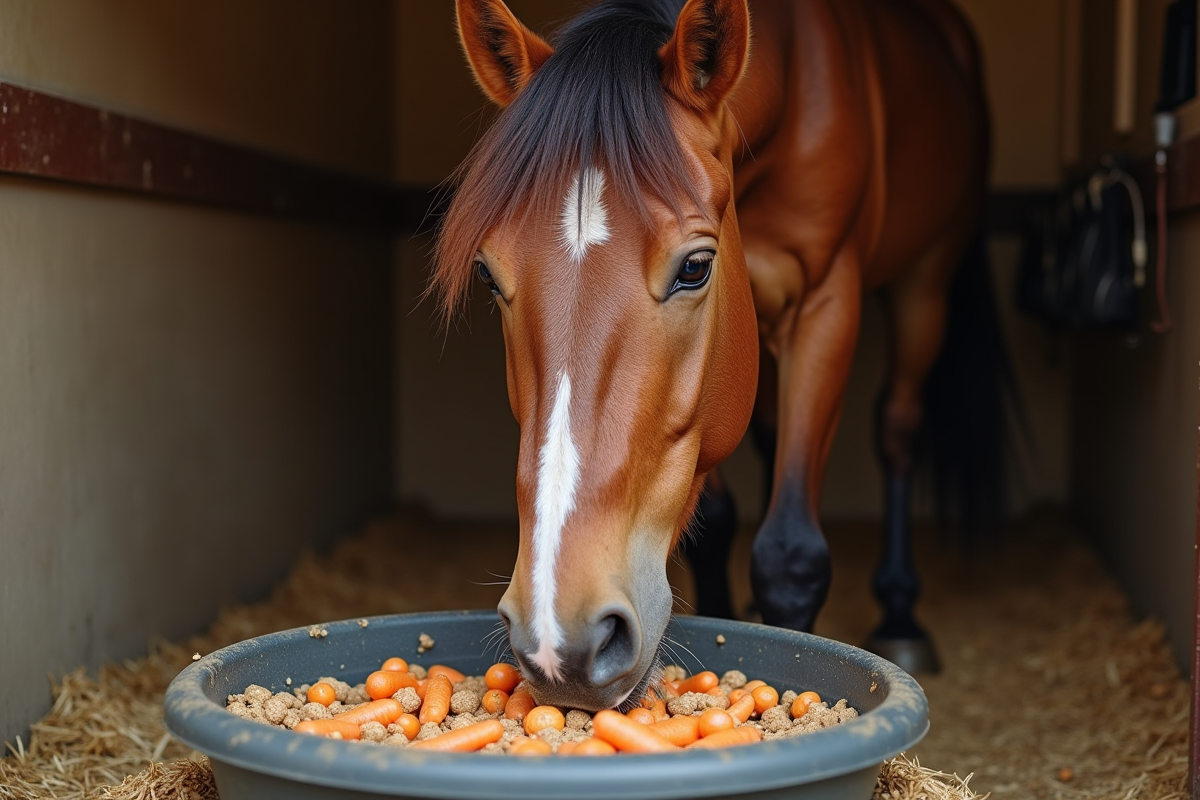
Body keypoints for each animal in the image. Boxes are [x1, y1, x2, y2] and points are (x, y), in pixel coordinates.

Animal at [432, 0, 995, 711]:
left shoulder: (825, 306)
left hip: (925, 286)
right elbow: (719, 521)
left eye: (696, 268)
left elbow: (790, 555)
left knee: (898, 429)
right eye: (486, 274)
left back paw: (901, 616)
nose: (562, 637)